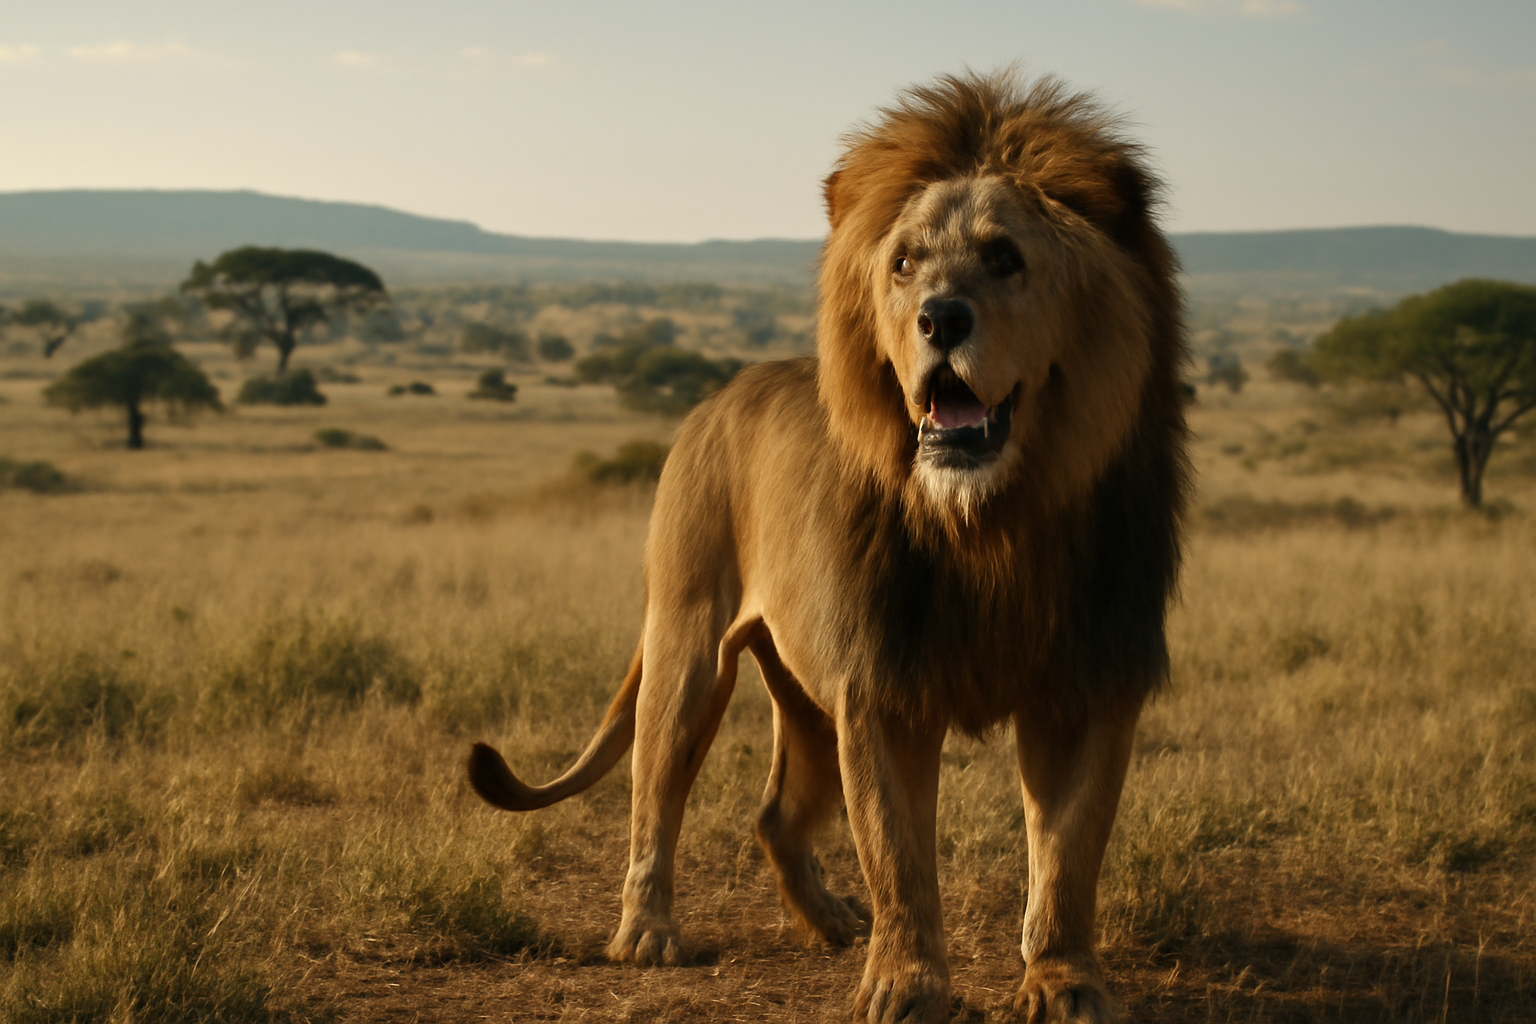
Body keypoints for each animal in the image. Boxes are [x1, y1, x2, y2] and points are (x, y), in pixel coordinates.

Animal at [469, 71, 1189, 1024]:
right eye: (904, 264)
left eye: (1005, 258)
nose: (940, 320)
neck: (993, 525)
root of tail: (719, 393)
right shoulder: (881, 684)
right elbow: (897, 853)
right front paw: (905, 986)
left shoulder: (1086, 679)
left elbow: (1069, 858)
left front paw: (1062, 982)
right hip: (689, 644)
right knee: (654, 794)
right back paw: (648, 935)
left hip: (804, 693)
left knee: (775, 815)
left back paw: (829, 921)